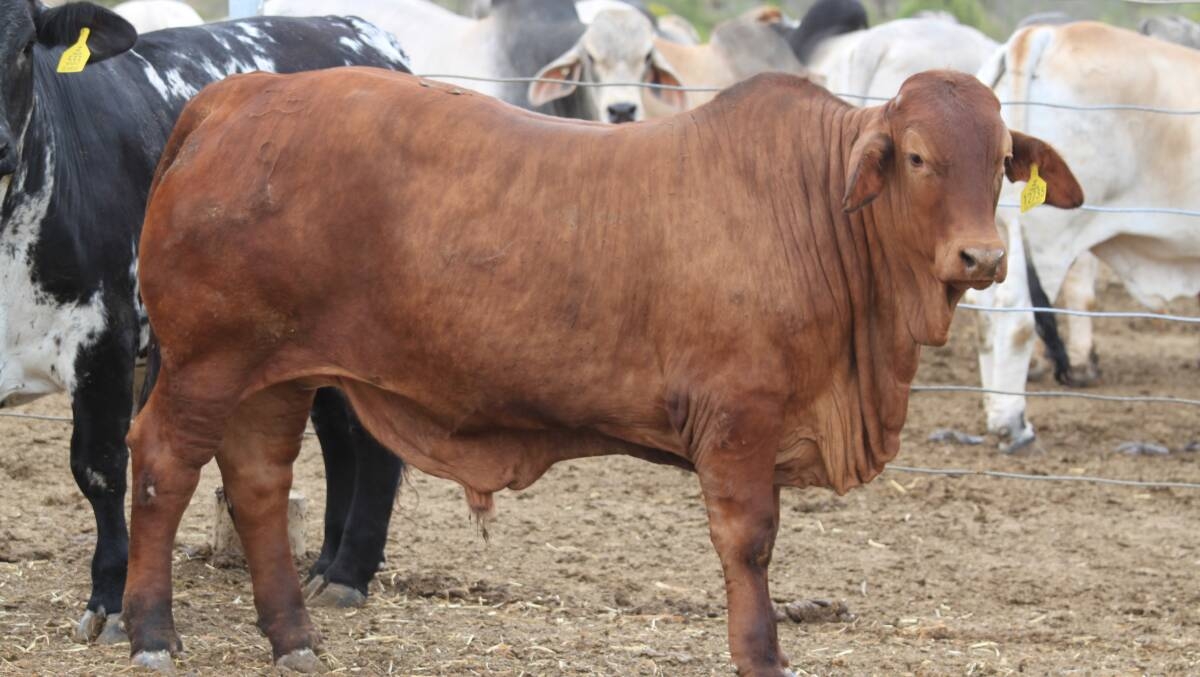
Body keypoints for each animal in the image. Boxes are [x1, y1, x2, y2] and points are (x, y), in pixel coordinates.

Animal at [0, 0, 410, 645]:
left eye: (22, 48)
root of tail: (357, 29)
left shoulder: (104, 338)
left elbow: (100, 468)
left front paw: (111, 599)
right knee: (339, 435)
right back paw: (325, 566)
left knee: (370, 441)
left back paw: (349, 574)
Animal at [122, 68, 1082, 673]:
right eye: (917, 155)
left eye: (1003, 158)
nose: (982, 256)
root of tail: (238, 94)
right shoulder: (738, 421)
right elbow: (749, 544)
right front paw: (760, 653)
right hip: (207, 361)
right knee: (164, 463)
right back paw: (149, 629)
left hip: (273, 374)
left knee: (257, 482)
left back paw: (292, 635)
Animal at [967, 21, 1200, 450]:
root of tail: (1040, 35)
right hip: (1048, 239)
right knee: (1017, 316)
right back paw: (1013, 423)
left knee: (984, 315)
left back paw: (994, 410)